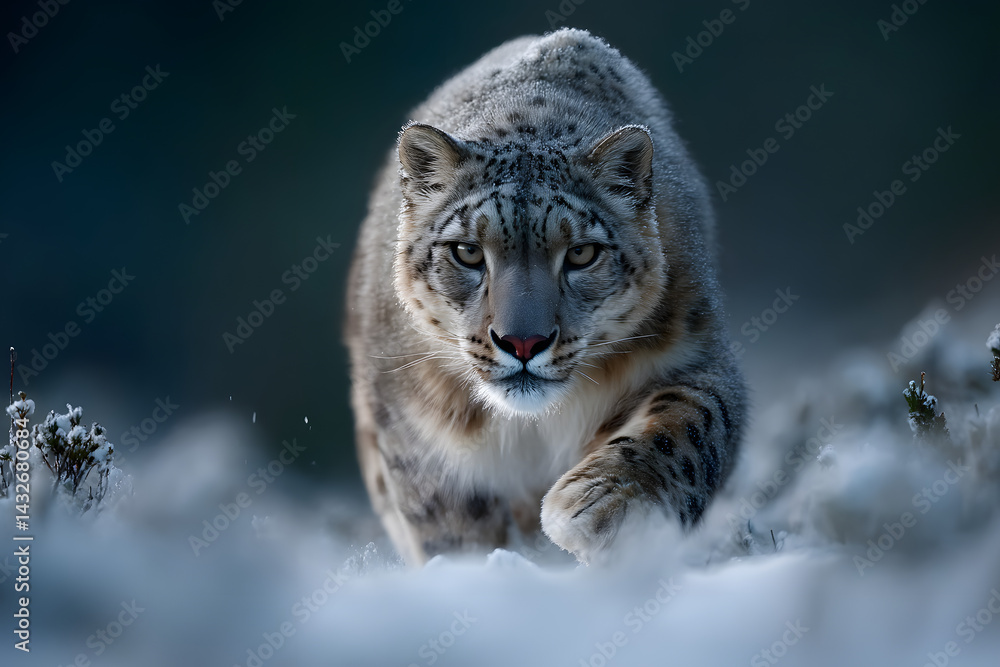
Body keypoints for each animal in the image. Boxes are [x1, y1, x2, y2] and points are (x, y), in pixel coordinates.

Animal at [345, 28, 745, 565]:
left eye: (580, 253)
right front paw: (469, 567)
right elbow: (446, 515)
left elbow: (687, 424)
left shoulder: (695, 355)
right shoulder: (410, 421)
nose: (523, 342)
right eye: (467, 251)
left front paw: (604, 507)